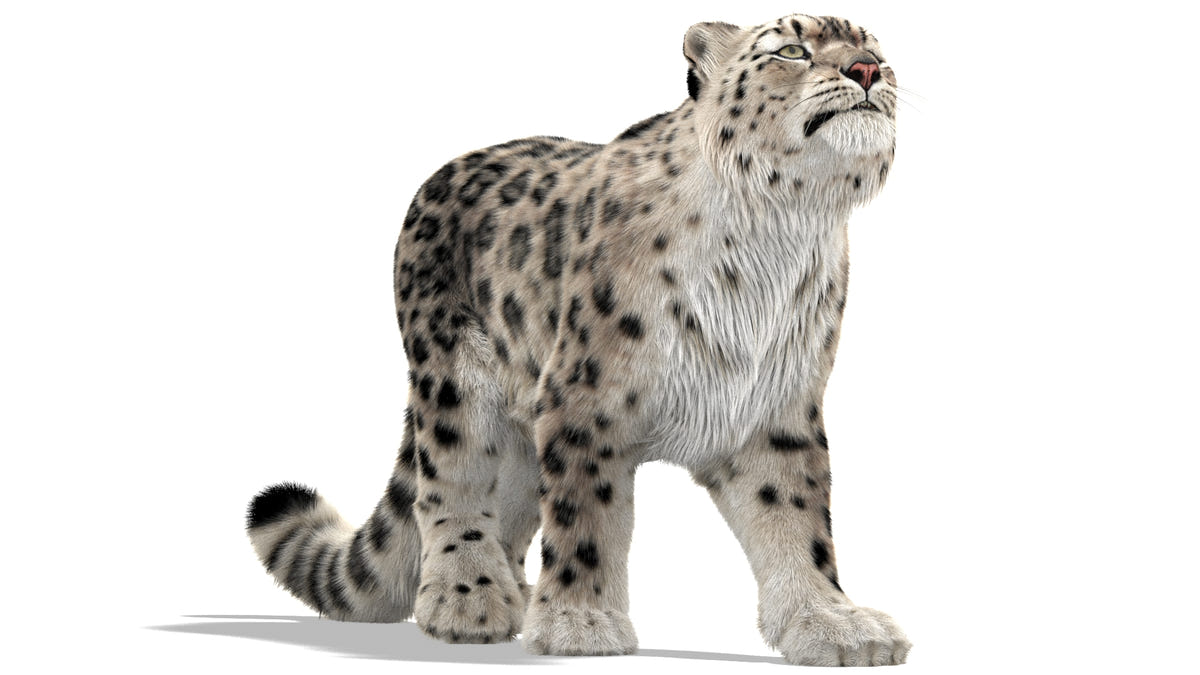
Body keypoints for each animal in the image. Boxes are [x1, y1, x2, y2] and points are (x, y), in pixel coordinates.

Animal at [246, 13, 910, 667]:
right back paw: (467, 599)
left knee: (510, 503)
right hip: (456, 382)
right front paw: (580, 622)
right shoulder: (586, 401)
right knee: (448, 485)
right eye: (792, 49)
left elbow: (796, 515)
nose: (867, 70)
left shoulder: (774, 406)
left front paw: (833, 623)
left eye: (877, 49)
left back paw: (514, 593)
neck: (776, 234)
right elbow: (586, 516)